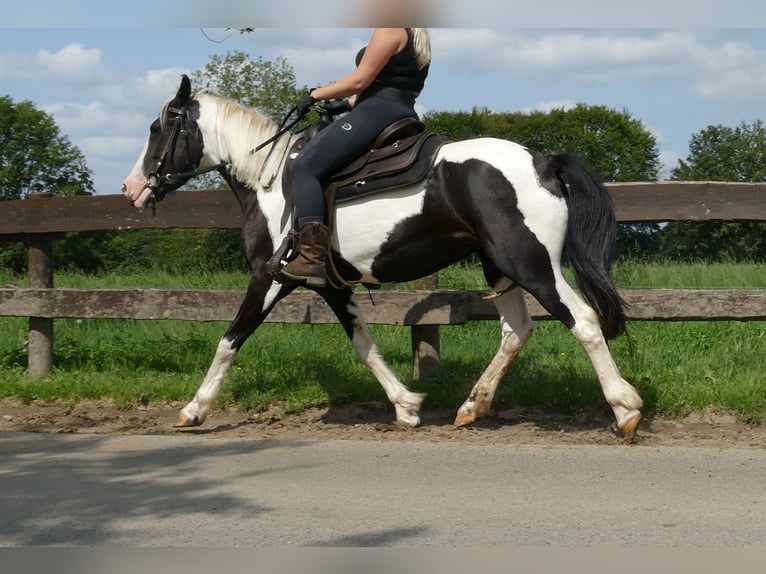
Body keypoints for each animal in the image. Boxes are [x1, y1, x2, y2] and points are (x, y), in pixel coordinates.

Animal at [123, 74, 644, 438]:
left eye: (157, 127)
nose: (132, 188)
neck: (269, 183)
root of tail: (543, 161)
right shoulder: (330, 284)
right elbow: (363, 344)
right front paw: (406, 406)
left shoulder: (270, 278)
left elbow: (230, 340)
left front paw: (193, 410)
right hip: (500, 267)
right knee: (517, 329)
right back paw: (471, 407)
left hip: (532, 265)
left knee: (584, 321)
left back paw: (625, 409)